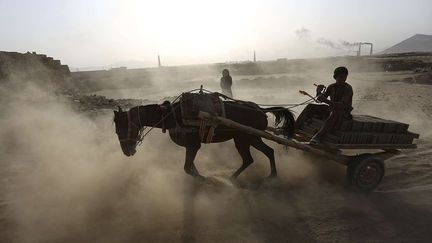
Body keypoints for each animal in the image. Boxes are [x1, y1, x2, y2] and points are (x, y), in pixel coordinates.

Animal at [113, 98, 296, 179]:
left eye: (121, 129)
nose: (127, 152)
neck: (172, 115)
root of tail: (260, 110)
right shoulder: (190, 147)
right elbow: (190, 166)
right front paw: (200, 175)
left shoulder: (193, 145)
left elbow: (187, 168)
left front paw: (204, 179)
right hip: (247, 139)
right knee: (261, 155)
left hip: (247, 138)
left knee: (255, 156)